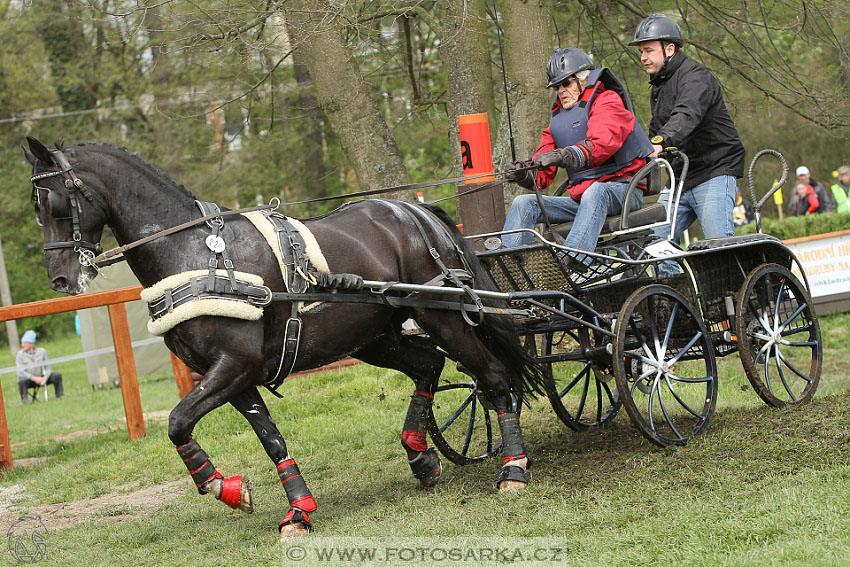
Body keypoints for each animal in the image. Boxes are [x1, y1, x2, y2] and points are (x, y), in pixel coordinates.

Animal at [23, 140, 540, 540]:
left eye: (54, 203)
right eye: (36, 208)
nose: (61, 279)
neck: (196, 256)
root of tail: (414, 211)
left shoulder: (233, 365)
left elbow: (176, 421)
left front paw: (222, 485)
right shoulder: (232, 376)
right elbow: (268, 439)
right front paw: (282, 505)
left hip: (441, 315)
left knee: (493, 377)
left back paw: (513, 468)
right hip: (374, 339)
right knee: (430, 366)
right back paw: (420, 454)